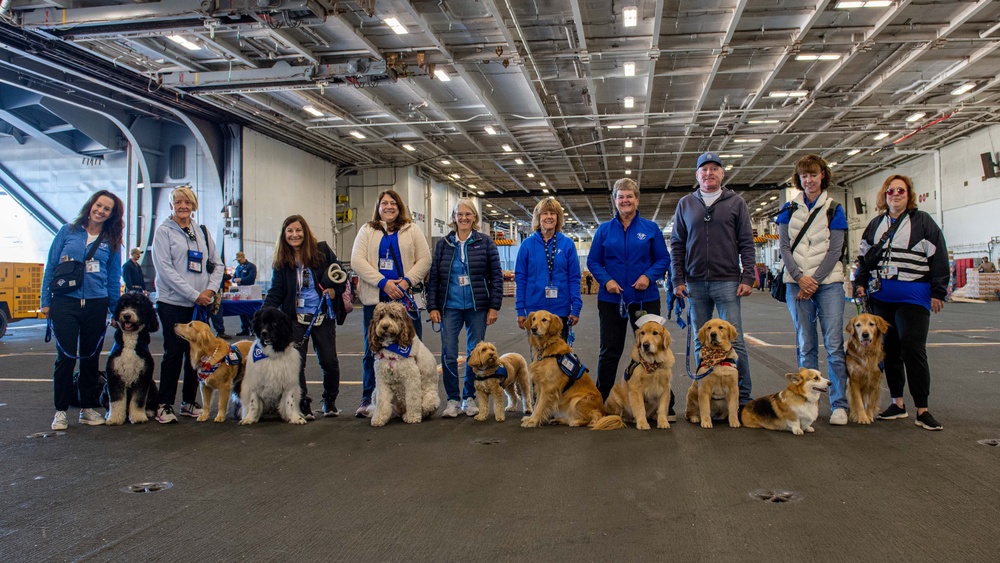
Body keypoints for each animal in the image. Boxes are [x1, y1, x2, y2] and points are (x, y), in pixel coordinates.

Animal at [105, 294, 158, 426]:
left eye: (138, 305)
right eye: (123, 305)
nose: (127, 315)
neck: (130, 344)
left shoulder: (143, 377)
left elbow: (139, 399)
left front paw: (138, 417)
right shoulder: (114, 376)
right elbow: (116, 400)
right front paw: (115, 418)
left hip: (152, 385)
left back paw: (148, 412)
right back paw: (108, 414)